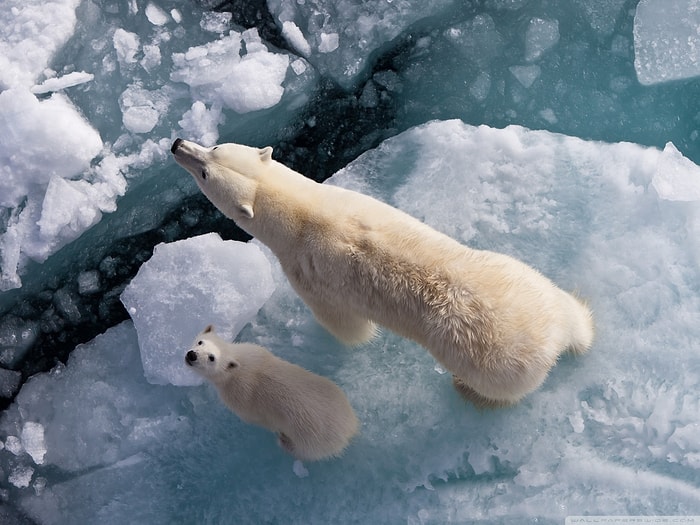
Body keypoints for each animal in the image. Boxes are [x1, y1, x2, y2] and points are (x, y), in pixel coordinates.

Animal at [172, 138, 592, 406]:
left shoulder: (307, 272)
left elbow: (345, 325)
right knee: (569, 308)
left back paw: (466, 390)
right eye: (215, 149)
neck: (304, 213)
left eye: (206, 169)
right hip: (523, 277)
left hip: (492, 362)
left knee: (499, 388)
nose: (177, 144)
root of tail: (552, 338)